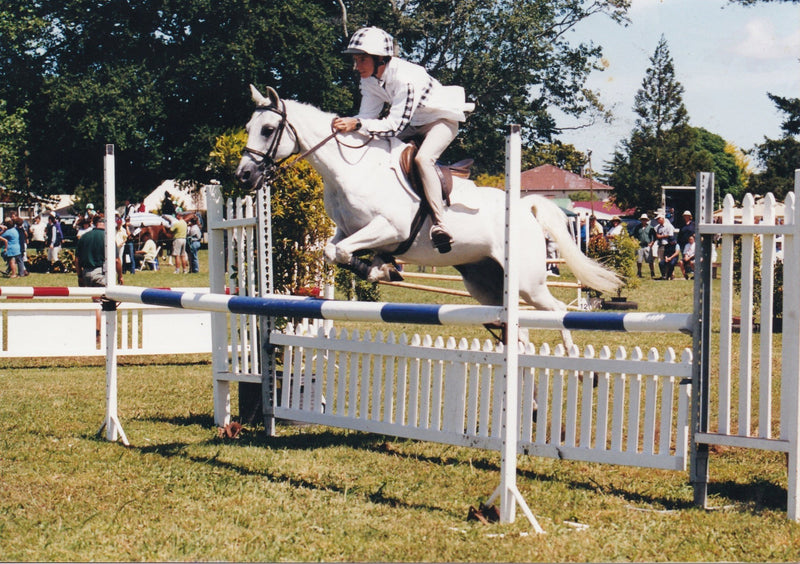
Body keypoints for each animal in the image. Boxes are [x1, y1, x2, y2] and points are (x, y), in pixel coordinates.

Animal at [235, 85, 621, 347]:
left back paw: (572, 361)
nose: (244, 177)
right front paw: (382, 268)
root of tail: (525, 208)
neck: (352, 168)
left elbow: (343, 252)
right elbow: (332, 250)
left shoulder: (388, 228)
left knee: (556, 310)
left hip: (528, 283)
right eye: (249, 126)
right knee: (519, 329)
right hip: (485, 283)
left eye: (267, 130)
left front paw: (379, 269)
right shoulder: (346, 230)